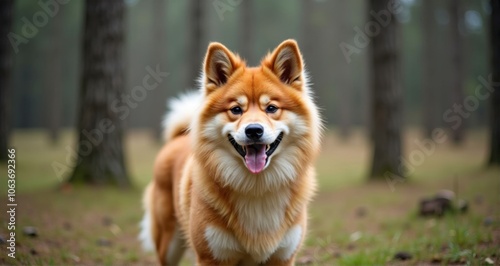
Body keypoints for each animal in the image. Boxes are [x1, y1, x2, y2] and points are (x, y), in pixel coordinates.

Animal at [139, 38, 322, 264]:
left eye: (271, 108)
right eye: (236, 109)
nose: (254, 130)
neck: (256, 188)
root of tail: (178, 138)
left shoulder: (283, 256)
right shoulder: (211, 257)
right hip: (169, 243)